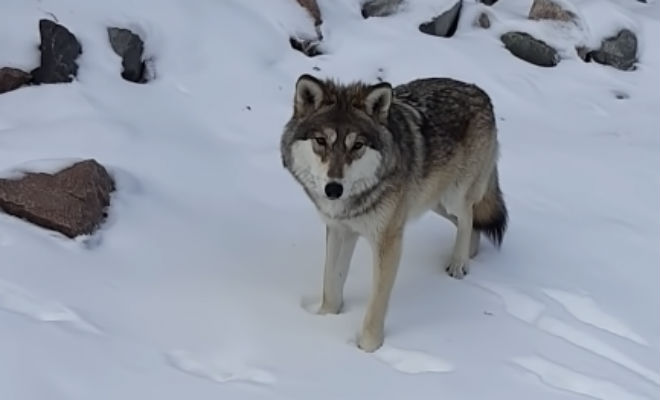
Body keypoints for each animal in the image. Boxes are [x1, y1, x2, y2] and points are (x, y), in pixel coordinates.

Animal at [278, 73, 506, 352]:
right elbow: (331, 283)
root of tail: (480, 92)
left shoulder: (388, 241)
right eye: (321, 141)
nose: (333, 189)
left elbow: (376, 303)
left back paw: (458, 264)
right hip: (432, 202)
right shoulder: (340, 230)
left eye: (357, 146)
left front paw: (368, 348)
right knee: (473, 224)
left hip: (452, 197)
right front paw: (325, 320)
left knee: (468, 216)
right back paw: (469, 255)